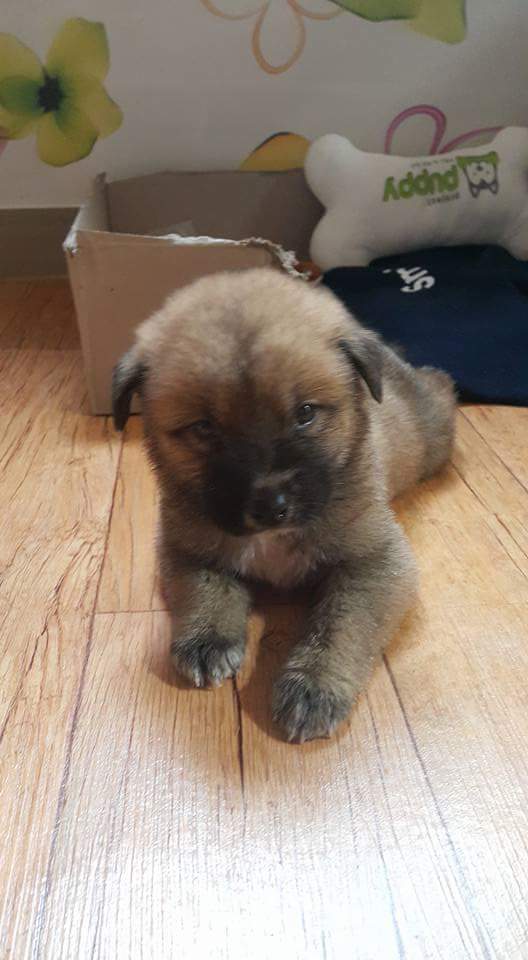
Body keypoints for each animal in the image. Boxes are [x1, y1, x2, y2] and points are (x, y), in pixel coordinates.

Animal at [112, 268, 456, 742]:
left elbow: (343, 624)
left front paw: (314, 685)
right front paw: (207, 638)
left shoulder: (376, 560)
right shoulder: (184, 545)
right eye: (203, 428)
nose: (271, 506)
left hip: (433, 437)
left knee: (442, 390)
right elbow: (202, 587)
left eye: (306, 413)